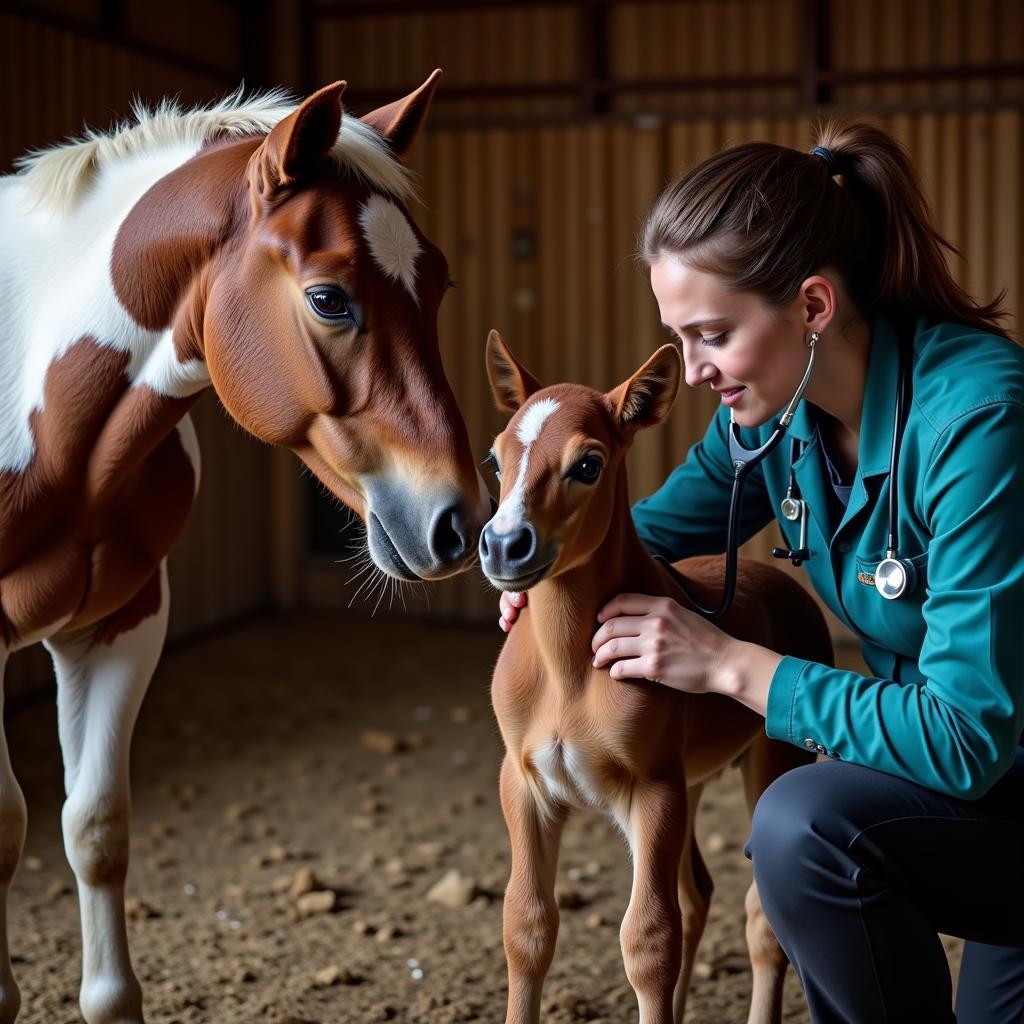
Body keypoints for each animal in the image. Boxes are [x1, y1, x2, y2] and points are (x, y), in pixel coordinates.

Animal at [479, 331, 831, 1019]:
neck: (568, 672)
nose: (505, 546)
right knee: (698, 894)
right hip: (691, 783)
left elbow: (647, 940)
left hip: (769, 763)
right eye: (496, 459)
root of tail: (780, 580)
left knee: (757, 918)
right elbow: (526, 928)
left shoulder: (652, 791)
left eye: (588, 465)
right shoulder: (523, 785)